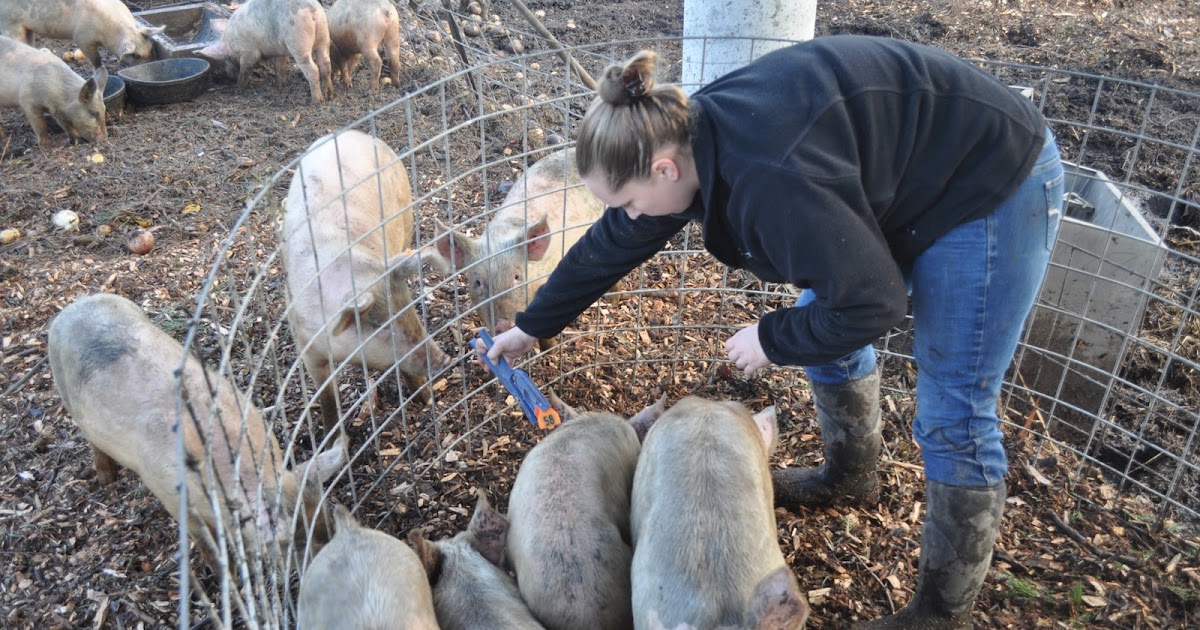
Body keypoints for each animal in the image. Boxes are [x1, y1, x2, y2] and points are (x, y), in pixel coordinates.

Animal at [0, 0, 163, 67]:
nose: (153, 64)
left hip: (26, 28)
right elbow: (96, 60)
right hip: (10, 25)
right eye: (137, 55)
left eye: (151, 48)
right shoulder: (81, 38)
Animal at [47, 293, 347, 565]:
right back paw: (107, 481)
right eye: (295, 543)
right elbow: (208, 548)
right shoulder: (173, 499)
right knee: (94, 443)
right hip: (68, 397)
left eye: (329, 522)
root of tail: (69, 309)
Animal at [197, 0, 333, 104]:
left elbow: (245, 69)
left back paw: (317, 101)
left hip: (298, 41)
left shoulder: (248, 52)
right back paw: (329, 94)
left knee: (313, 69)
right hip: (324, 34)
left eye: (226, 60)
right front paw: (279, 86)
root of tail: (311, 9)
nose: (229, 75)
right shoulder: (280, 51)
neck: (231, 43)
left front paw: (239, 88)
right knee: (325, 64)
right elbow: (279, 67)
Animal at [281, 130, 451, 436]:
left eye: (409, 307)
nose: (445, 360)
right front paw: (333, 438)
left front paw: (426, 399)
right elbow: (327, 398)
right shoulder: (306, 346)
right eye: (379, 325)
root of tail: (352, 133)